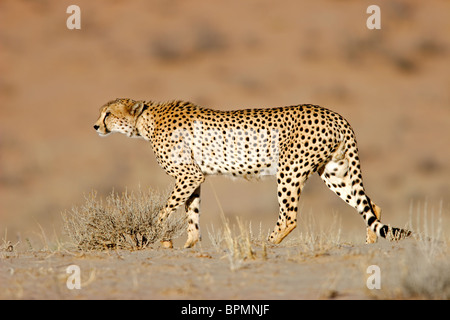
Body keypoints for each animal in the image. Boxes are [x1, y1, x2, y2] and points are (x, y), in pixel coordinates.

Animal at [94, 99, 412, 249]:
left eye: (108, 113)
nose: (95, 126)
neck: (145, 122)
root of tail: (336, 115)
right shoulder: (195, 178)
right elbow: (191, 213)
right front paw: (189, 243)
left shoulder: (188, 175)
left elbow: (163, 212)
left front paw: (158, 238)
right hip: (334, 171)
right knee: (371, 205)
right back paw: (370, 242)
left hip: (290, 169)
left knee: (290, 217)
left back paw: (265, 244)